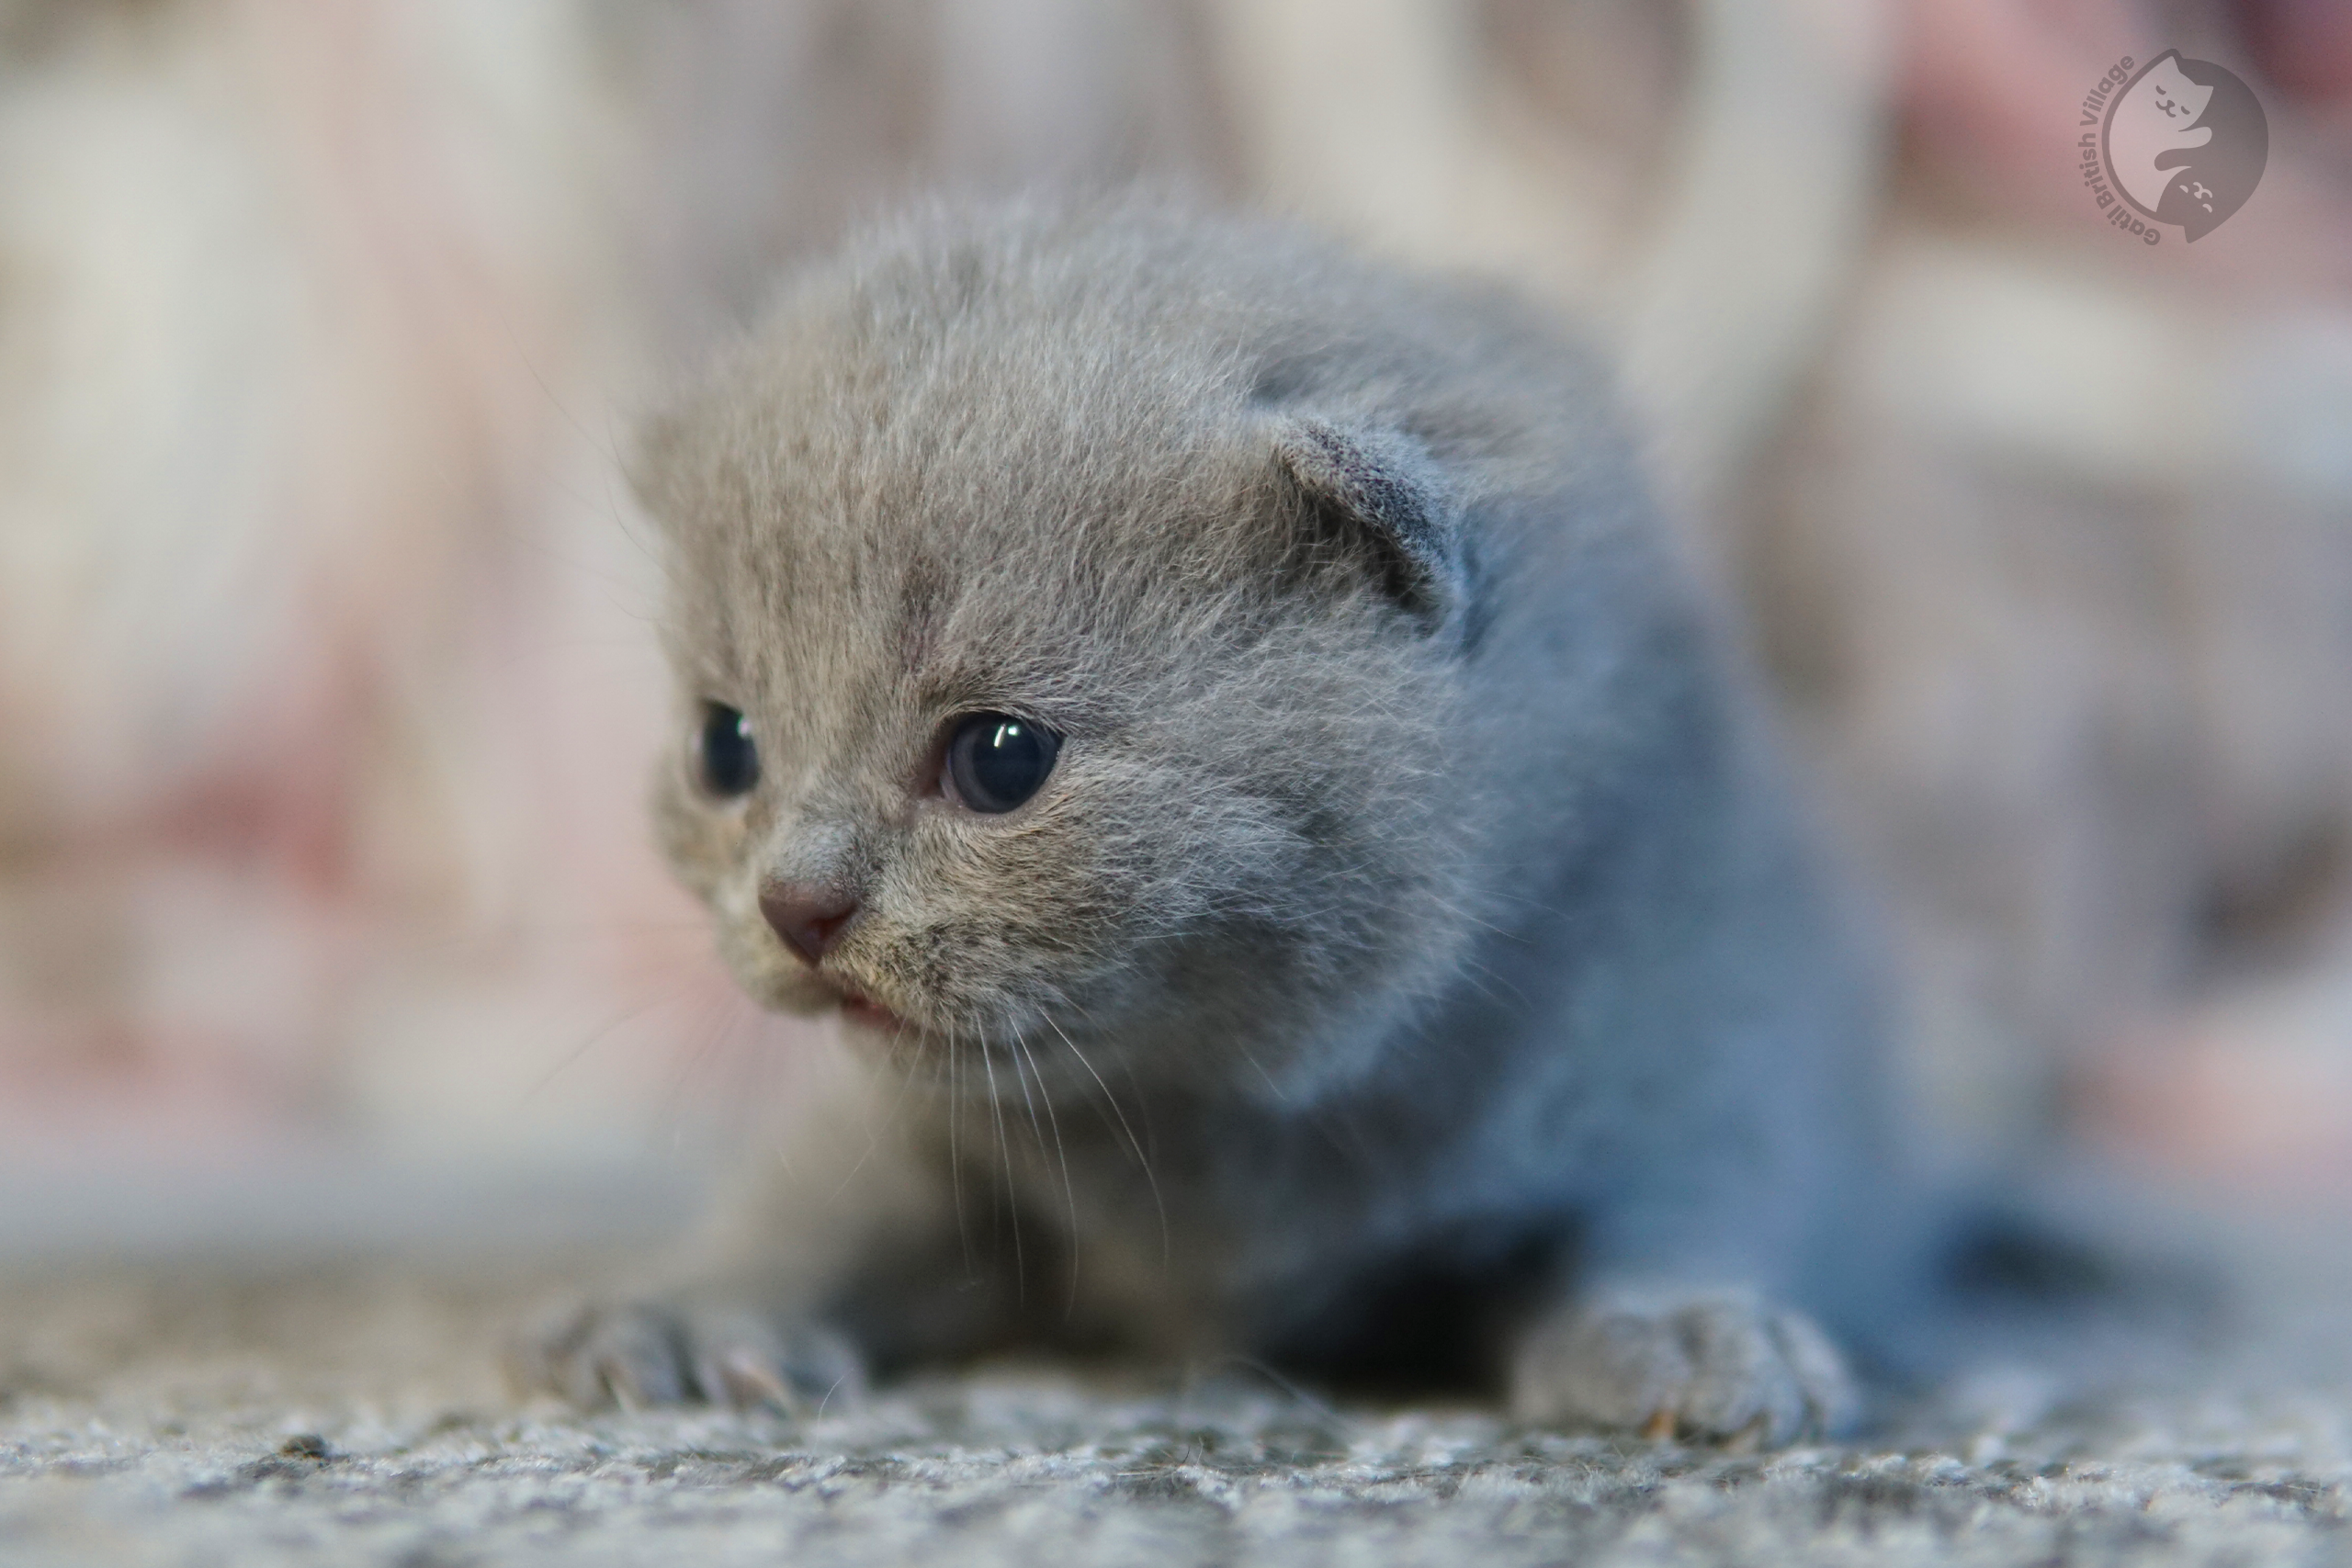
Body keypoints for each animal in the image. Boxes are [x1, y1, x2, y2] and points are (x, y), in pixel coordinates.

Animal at [529, 196, 1928, 1448]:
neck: (1214, 1124)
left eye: (1000, 760)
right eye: (725, 747)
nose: (795, 904)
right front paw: (684, 1311)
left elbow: (1688, 1196)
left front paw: (1690, 1335)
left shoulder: (1703, 1015)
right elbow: (818, 1202)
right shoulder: (926, 1130)